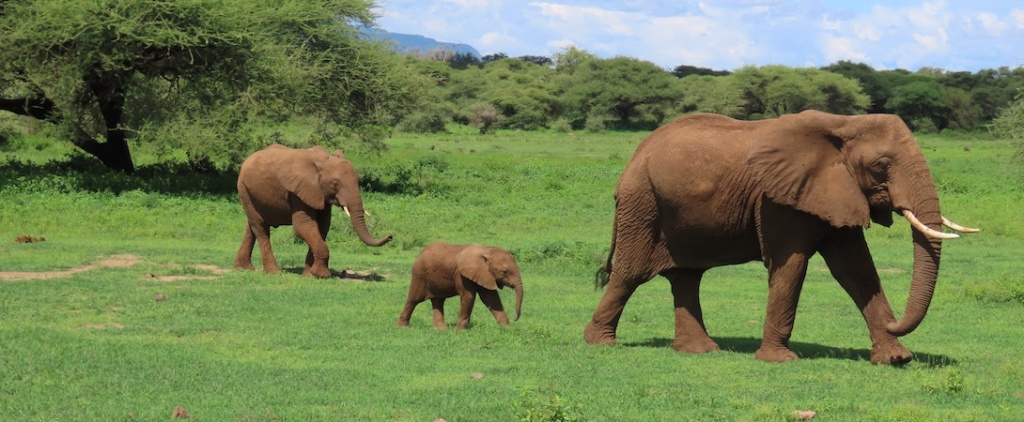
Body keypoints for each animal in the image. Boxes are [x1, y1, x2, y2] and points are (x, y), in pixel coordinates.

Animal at [234, 144, 392, 278]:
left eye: (358, 181)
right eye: (335, 184)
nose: (390, 236)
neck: (322, 163)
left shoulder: (320, 194)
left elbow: (322, 226)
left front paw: (310, 275)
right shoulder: (299, 191)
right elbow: (303, 226)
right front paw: (322, 275)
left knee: (251, 227)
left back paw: (243, 269)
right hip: (243, 189)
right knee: (260, 227)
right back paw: (273, 272)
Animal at [584, 110, 978, 365]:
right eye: (882, 166)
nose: (893, 322)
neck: (843, 123)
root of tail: (635, 154)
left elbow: (856, 269)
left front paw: (895, 358)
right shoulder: (777, 199)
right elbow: (791, 265)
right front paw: (780, 360)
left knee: (687, 276)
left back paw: (700, 351)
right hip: (642, 202)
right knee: (631, 273)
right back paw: (601, 344)